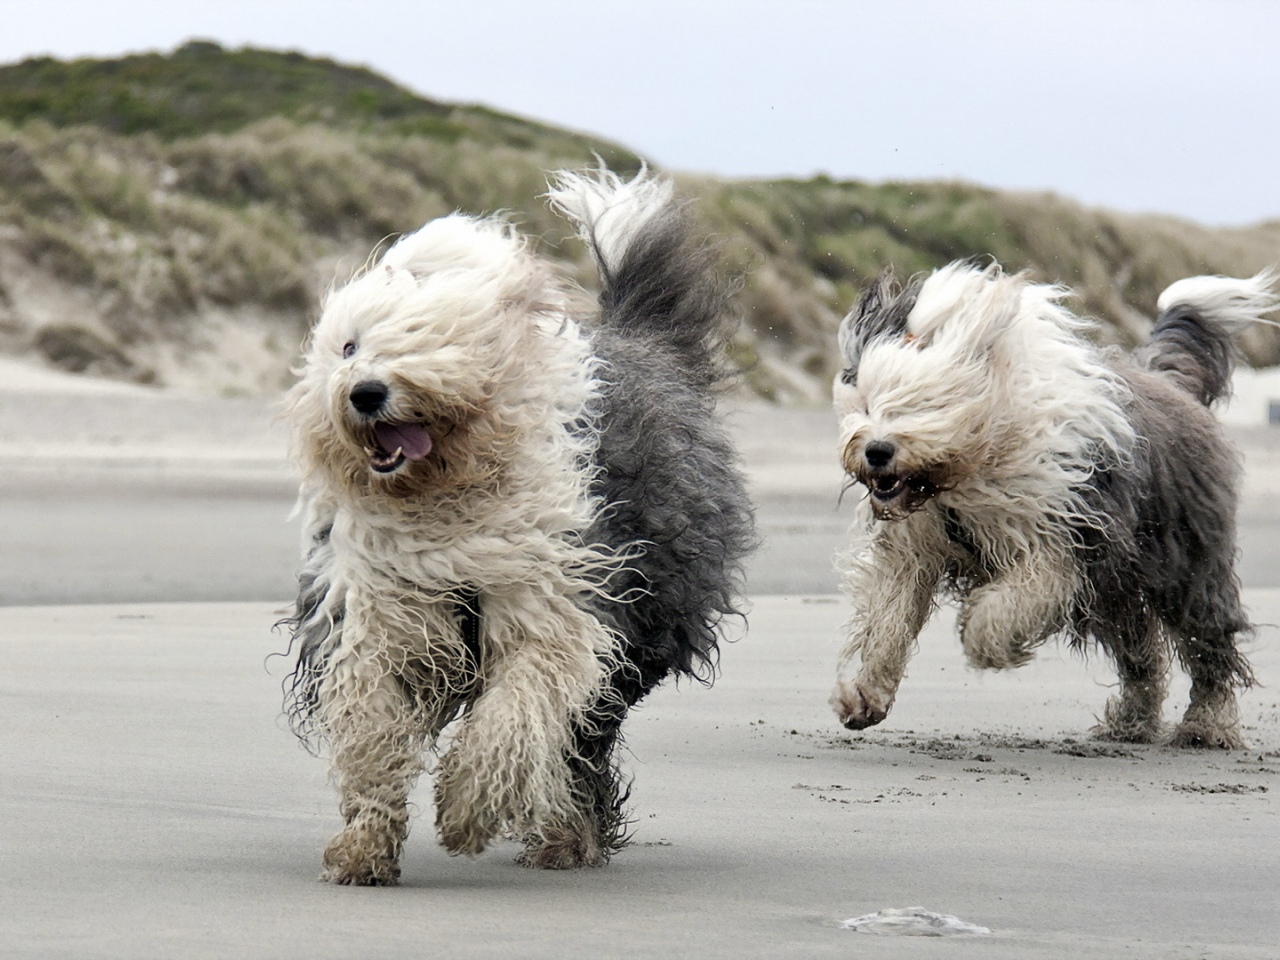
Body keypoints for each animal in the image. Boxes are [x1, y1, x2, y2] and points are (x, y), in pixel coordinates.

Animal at [285, 167, 752, 885]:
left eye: (428, 337)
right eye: (349, 345)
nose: (364, 392)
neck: (445, 500)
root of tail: (641, 337)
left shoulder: (557, 606)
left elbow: (515, 713)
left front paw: (466, 809)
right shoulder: (379, 614)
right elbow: (374, 733)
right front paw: (363, 848)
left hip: (640, 629)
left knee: (581, 741)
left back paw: (566, 836)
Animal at [824, 263, 1274, 752]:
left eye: (924, 405)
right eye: (867, 402)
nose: (876, 451)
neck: (970, 468)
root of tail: (1167, 382)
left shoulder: (1063, 537)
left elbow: (1016, 599)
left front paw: (985, 641)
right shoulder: (915, 546)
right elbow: (891, 617)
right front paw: (865, 694)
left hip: (1184, 561)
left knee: (1207, 642)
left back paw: (1206, 725)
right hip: (1120, 586)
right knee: (1141, 651)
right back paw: (1132, 722)